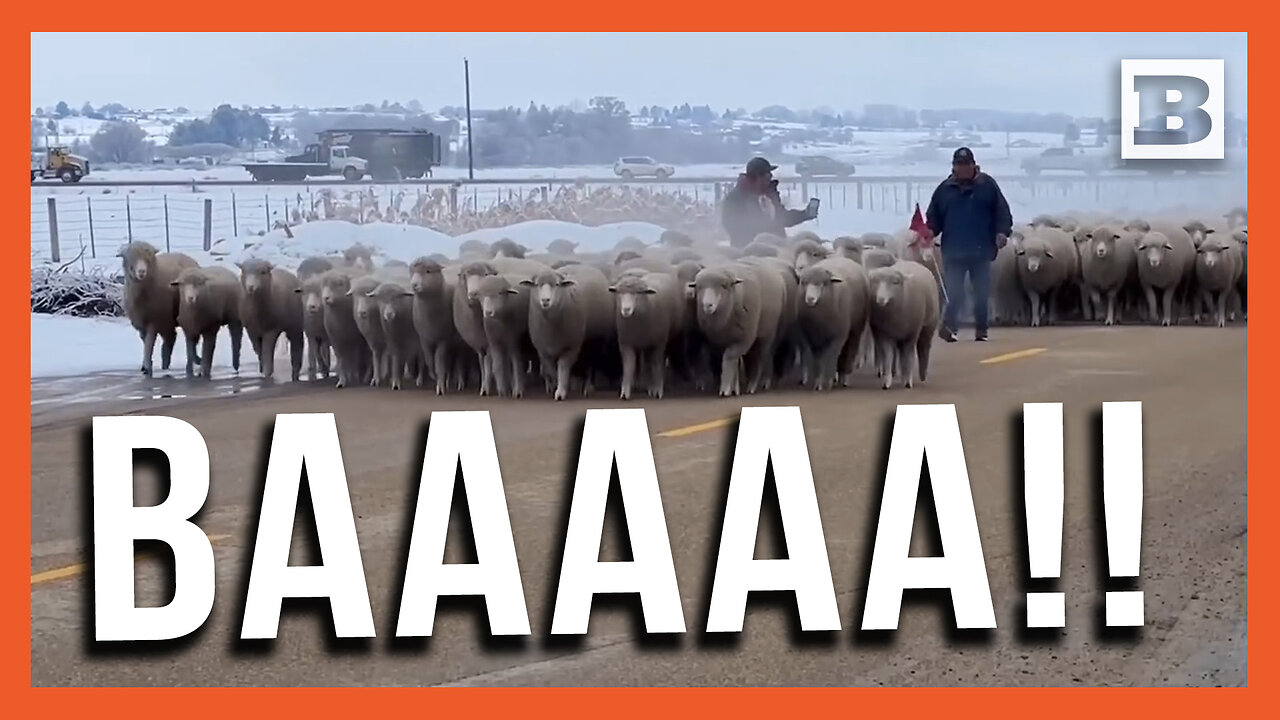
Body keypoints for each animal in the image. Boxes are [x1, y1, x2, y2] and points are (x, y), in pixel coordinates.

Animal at [119, 240, 198, 376]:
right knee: (170, 338)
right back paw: (166, 364)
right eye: (130, 258)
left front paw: (147, 366)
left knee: (173, 338)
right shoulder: (141, 323)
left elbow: (149, 343)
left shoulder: (154, 321)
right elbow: (145, 341)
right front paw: (145, 365)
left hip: (168, 318)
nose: (141, 271)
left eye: (148, 259)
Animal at [409, 256, 465, 392]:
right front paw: (433, 375)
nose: (414, 285)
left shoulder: (443, 339)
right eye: (412, 272)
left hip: (459, 343)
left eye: (428, 271)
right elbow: (429, 360)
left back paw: (459, 382)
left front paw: (440, 385)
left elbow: (439, 362)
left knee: (458, 362)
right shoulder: (424, 339)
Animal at [524, 262, 614, 397]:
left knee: (591, 365)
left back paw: (588, 387)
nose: (545, 300)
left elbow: (563, 367)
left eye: (557, 284)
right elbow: (552, 370)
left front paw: (561, 392)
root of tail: (584, 265)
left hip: (595, 342)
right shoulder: (543, 351)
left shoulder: (571, 348)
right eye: (536, 285)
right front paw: (557, 386)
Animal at [798, 254, 870, 389]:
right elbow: (818, 359)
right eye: (804, 283)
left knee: (849, 349)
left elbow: (831, 356)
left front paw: (828, 382)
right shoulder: (813, 339)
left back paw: (844, 377)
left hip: (855, 330)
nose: (810, 298)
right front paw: (818, 382)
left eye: (822, 283)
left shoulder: (837, 337)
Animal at [870, 260, 942, 389]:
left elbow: (908, 356)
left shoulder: (911, 334)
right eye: (875, 282)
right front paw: (887, 381)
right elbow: (888, 356)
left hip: (928, 327)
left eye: (895, 282)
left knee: (924, 348)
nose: (881, 299)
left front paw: (908, 381)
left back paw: (922, 374)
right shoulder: (882, 334)